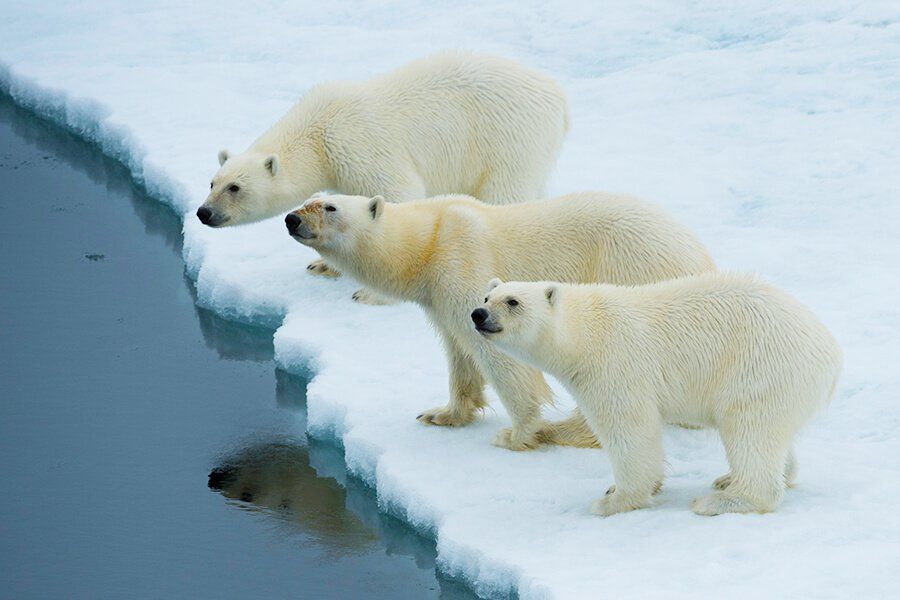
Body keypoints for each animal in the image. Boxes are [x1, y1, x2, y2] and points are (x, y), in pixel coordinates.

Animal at [195, 51, 568, 230]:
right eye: (212, 182)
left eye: (235, 188)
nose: (203, 212)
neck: (317, 132)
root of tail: (558, 96)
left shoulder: (357, 146)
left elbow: (399, 193)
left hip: (509, 136)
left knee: (505, 192)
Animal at [284, 192, 712, 450]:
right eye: (308, 199)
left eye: (330, 207)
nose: (291, 219)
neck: (431, 239)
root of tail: (699, 257)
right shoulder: (438, 297)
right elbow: (458, 351)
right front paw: (442, 414)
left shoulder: (464, 262)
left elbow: (500, 354)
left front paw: (520, 433)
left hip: (631, 269)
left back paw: (566, 430)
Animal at [478, 276, 844, 516]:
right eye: (485, 297)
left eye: (513, 302)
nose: (477, 315)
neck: (585, 334)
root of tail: (830, 352)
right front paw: (616, 490)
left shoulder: (616, 366)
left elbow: (630, 430)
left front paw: (613, 500)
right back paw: (732, 479)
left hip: (758, 368)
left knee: (749, 430)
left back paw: (722, 500)